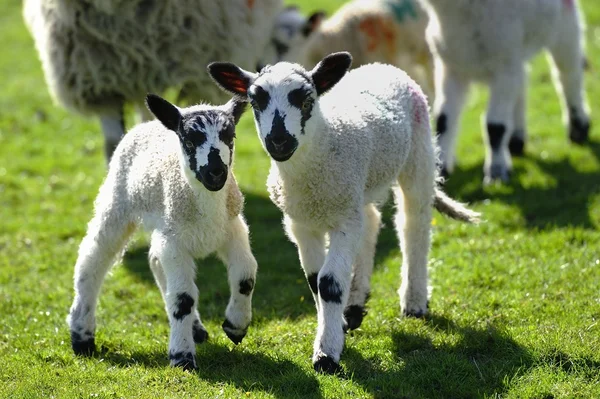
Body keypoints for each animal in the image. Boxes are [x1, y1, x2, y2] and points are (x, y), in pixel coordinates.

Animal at [67, 94, 255, 372]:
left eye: (230, 136)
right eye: (189, 141)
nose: (216, 172)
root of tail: (148, 123)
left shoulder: (232, 228)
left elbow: (245, 278)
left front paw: (235, 327)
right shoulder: (175, 241)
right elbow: (183, 298)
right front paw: (182, 357)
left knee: (155, 262)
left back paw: (196, 329)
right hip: (118, 202)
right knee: (92, 258)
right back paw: (82, 336)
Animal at [209, 51, 480, 374]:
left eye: (306, 101)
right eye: (256, 101)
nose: (279, 141)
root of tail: (382, 66)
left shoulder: (343, 222)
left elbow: (329, 282)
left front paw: (326, 353)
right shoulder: (301, 223)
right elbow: (315, 281)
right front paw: (335, 327)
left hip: (418, 154)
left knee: (413, 225)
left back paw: (414, 301)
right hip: (357, 189)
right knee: (372, 222)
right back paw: (354, 305)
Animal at [420, 0, 592, 184]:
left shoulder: (503, 66)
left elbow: (495, 126)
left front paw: (496, 172)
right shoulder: (452, 67)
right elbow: (443, 119)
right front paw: (440, 169)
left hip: (563, 26)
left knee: (568, 75)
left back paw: (578, 128)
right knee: (523, 81)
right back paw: (516, 140)